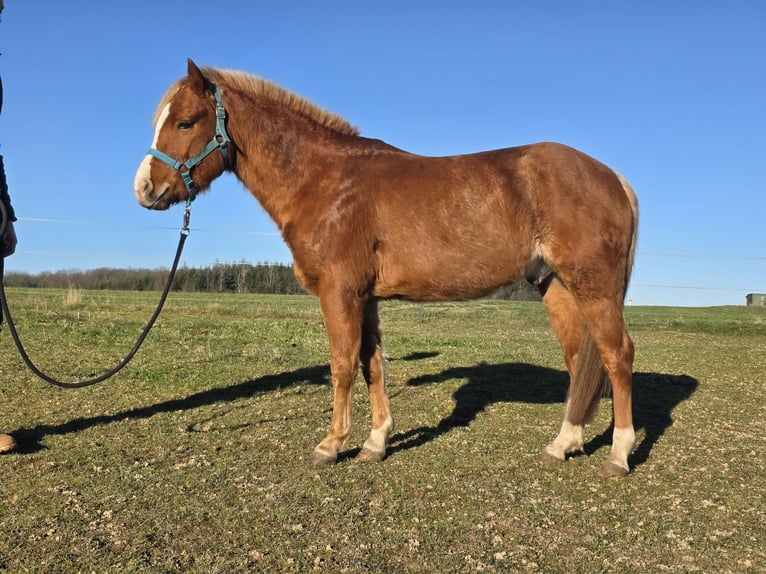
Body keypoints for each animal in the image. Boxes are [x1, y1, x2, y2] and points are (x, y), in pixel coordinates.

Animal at [134, 60, 639, 477]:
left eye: (184, 121)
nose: (144, 188)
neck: (324, 181)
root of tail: (615, 179)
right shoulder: (366, 298)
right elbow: (371, 364)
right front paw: (375, 444)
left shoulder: (339, 293)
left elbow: (341, 365)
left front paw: (330, 445)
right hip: (557, 287)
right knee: (579, 360)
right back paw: (563, 443)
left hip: (593, 287)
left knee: (617, 355)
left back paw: (618, 454)